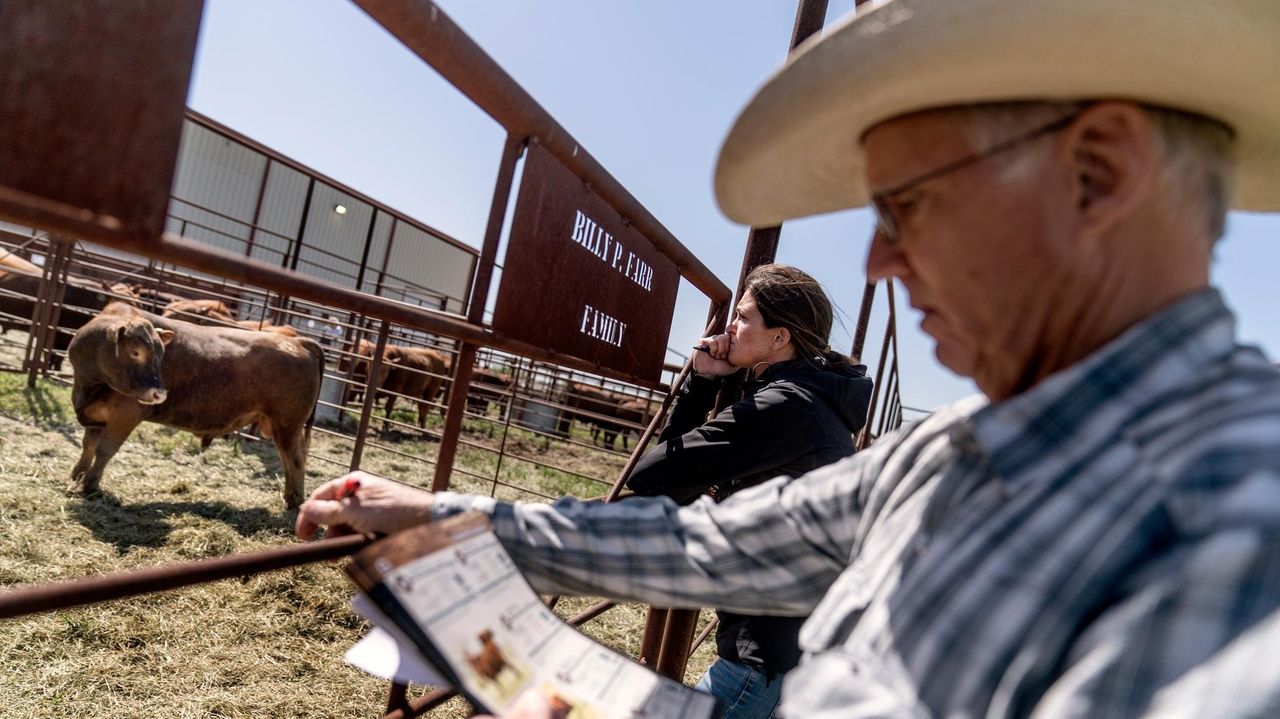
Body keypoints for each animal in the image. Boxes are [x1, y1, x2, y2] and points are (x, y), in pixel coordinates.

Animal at [68, 299, 325, 506]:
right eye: (135, 352)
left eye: (161, 354)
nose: (159, 394)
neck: (89, 383)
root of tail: (299, 342)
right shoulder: (96, 415)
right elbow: (88, 445)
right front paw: (76, 475)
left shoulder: (125, 415)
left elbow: (105, 449)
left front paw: (88, 485)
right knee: (290, 459)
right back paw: (290, 497)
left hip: (287, 424)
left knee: (295, 459)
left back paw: (294, 500)